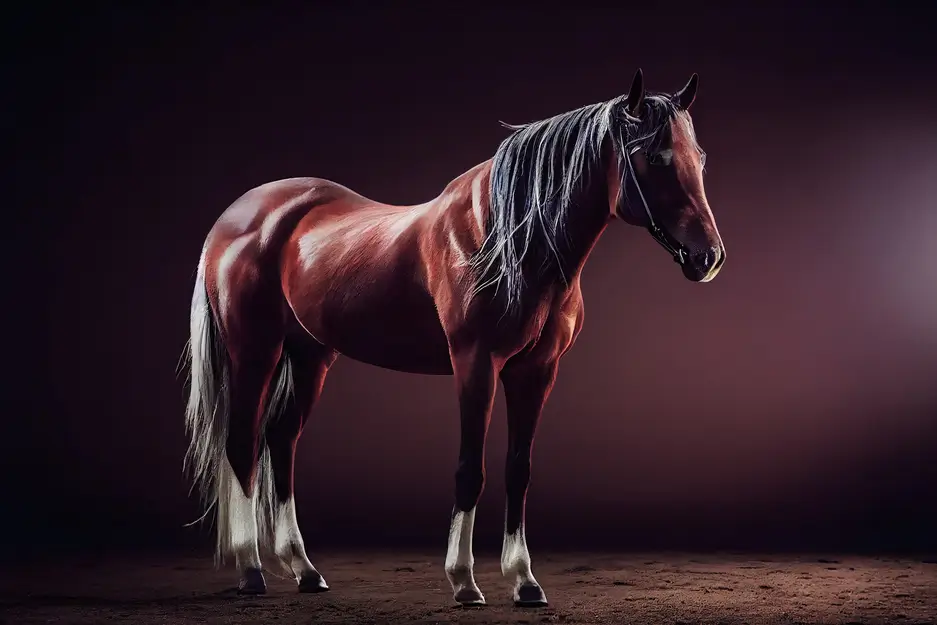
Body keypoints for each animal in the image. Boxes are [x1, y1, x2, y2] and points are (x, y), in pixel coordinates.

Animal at [182, 68, 725, 607]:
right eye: (655, 156)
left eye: (698, 157)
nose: (709, 257)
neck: (506, 239)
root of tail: (238, 215)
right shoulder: (475, 363)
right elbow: (471, 469)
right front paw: (464, 580)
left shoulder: (537, 371)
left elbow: (518, 469)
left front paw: (525, 581)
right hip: (255, 351)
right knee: (242, 443)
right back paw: (251, 569)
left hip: (311, 354)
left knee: (281, 439)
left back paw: (305, 569)